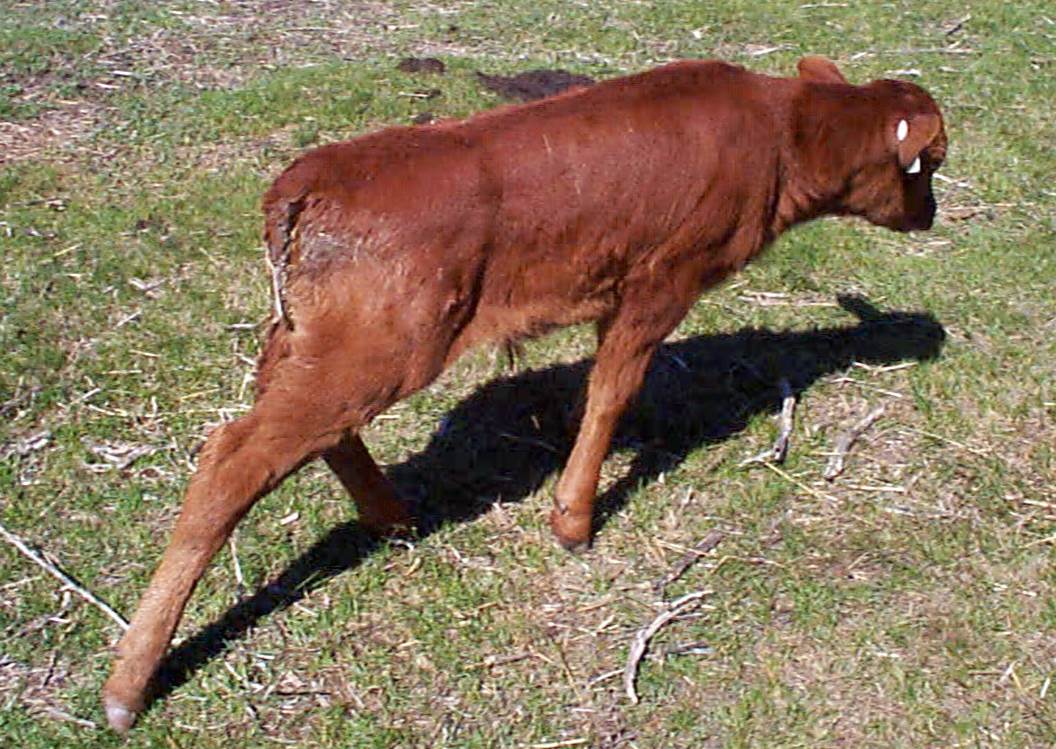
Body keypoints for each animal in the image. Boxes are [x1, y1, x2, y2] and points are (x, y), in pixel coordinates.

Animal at [105, 54, 950, 731]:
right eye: (931, 164)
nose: (933, 214)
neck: (781, 135)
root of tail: (303, 185)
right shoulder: (661, 278)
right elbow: (612, 391)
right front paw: (573, 520)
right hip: (378, 344)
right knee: (233, 457)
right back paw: (127, 685)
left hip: (316, 339)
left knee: (312, 428)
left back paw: (393, 517)